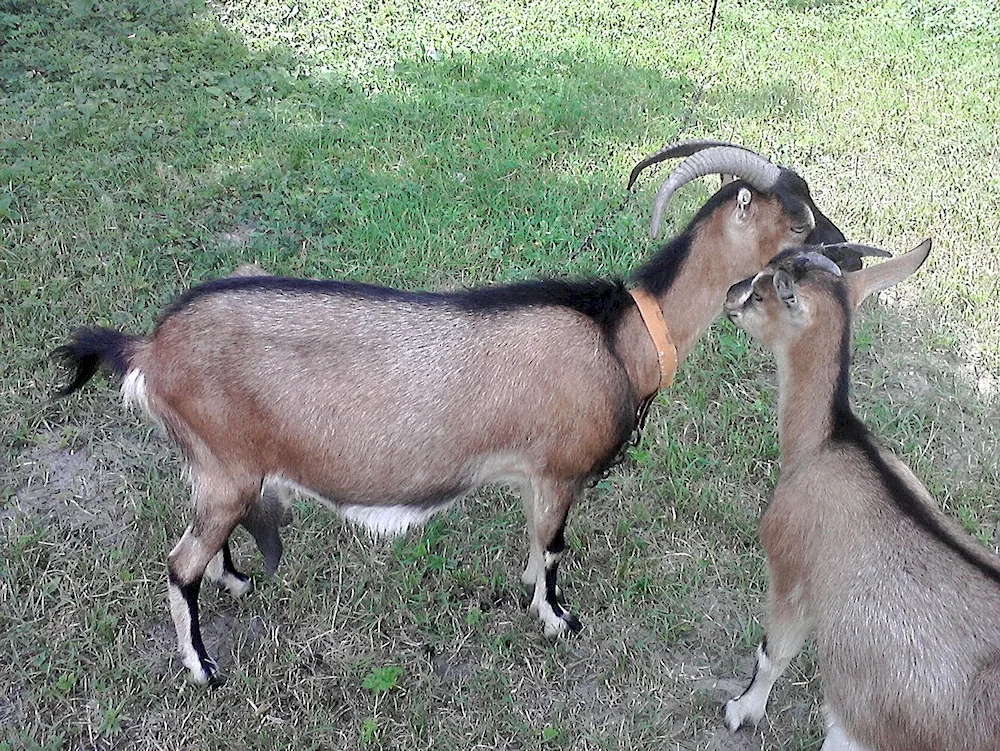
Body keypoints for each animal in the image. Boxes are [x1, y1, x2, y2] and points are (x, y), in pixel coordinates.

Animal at [54, 138, 844, 684]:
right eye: (798, 220)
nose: (845, 251)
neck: (621, 333)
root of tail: (150, 347)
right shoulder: (558, 471)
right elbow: (554, 547)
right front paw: (558, 619)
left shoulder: (534, 479)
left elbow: (535, 543)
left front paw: (532, 595)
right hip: (227, 467)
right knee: (177, 562)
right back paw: (205, 669)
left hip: (217, 472)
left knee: (201, 546)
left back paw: (237, 580)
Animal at [724, 242, 996, 751]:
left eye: (763, 294)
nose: (731, 293)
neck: (829, 443)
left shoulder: (791, 571)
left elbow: (774, 653)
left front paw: (742, 710)